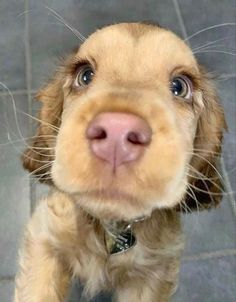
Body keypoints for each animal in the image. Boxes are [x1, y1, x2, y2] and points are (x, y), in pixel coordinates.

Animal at [13, 22, 226, 300]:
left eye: (180, 86)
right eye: (85, 75)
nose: (117, 132)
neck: (110, 226)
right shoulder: (45, 233)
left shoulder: (154, 272)